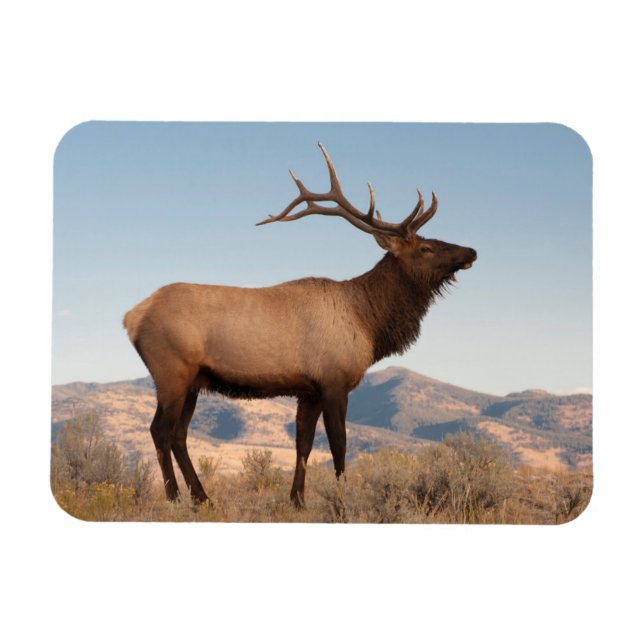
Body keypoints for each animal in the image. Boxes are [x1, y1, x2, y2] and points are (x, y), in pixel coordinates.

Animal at [123, 143, 477, 508]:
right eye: (426, 247)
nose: (471, 251)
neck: (368, 323)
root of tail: (132, 317)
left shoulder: (309, 391)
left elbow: (303, 445)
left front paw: (298, 499)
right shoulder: (334, 381)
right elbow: (339, 444)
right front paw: (343, 497)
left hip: (193, 381)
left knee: (179, 434)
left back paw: (202, 497)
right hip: (172, 372)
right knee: (160, 431)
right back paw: (174, 496)